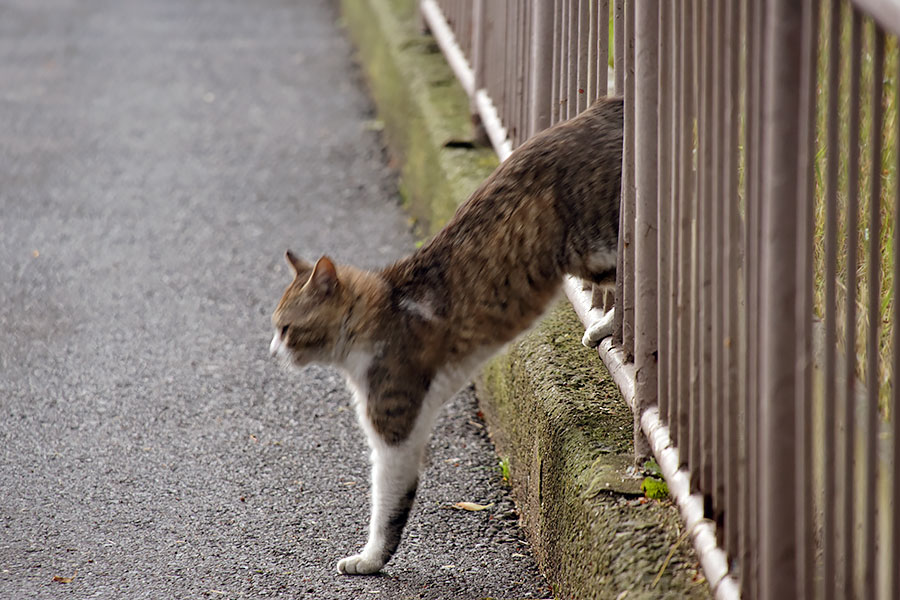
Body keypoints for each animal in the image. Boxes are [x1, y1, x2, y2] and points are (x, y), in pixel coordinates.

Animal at [268, 96, 624, 576]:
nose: (272, 351)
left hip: (598, 248)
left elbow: (387, 508)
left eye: (286, 328)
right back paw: (604, 327)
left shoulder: (394, 430)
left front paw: (369, 560)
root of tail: (606, 105)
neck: (383, 311)